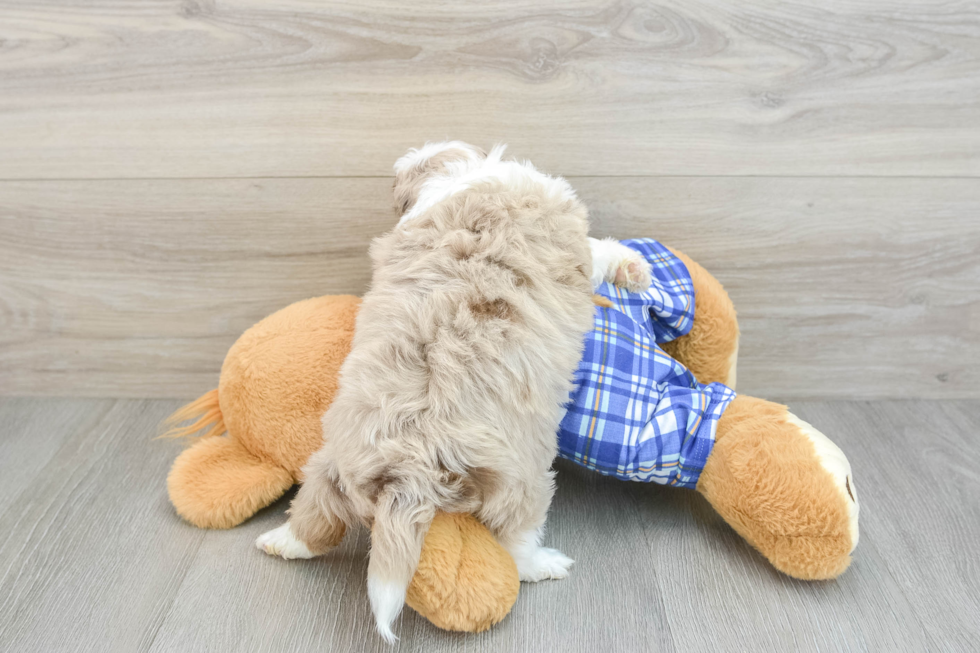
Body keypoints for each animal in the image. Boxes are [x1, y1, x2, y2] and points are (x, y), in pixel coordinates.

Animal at [258, 144, 652, 640]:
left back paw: (281, 542)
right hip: (523, 481)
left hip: (332, 462)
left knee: (317, 512)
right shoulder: (571, 242)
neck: (471, 179)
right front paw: (635, 267)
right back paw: (545, 565)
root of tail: (406, 468)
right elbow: (599, 251)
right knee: (517, 541)